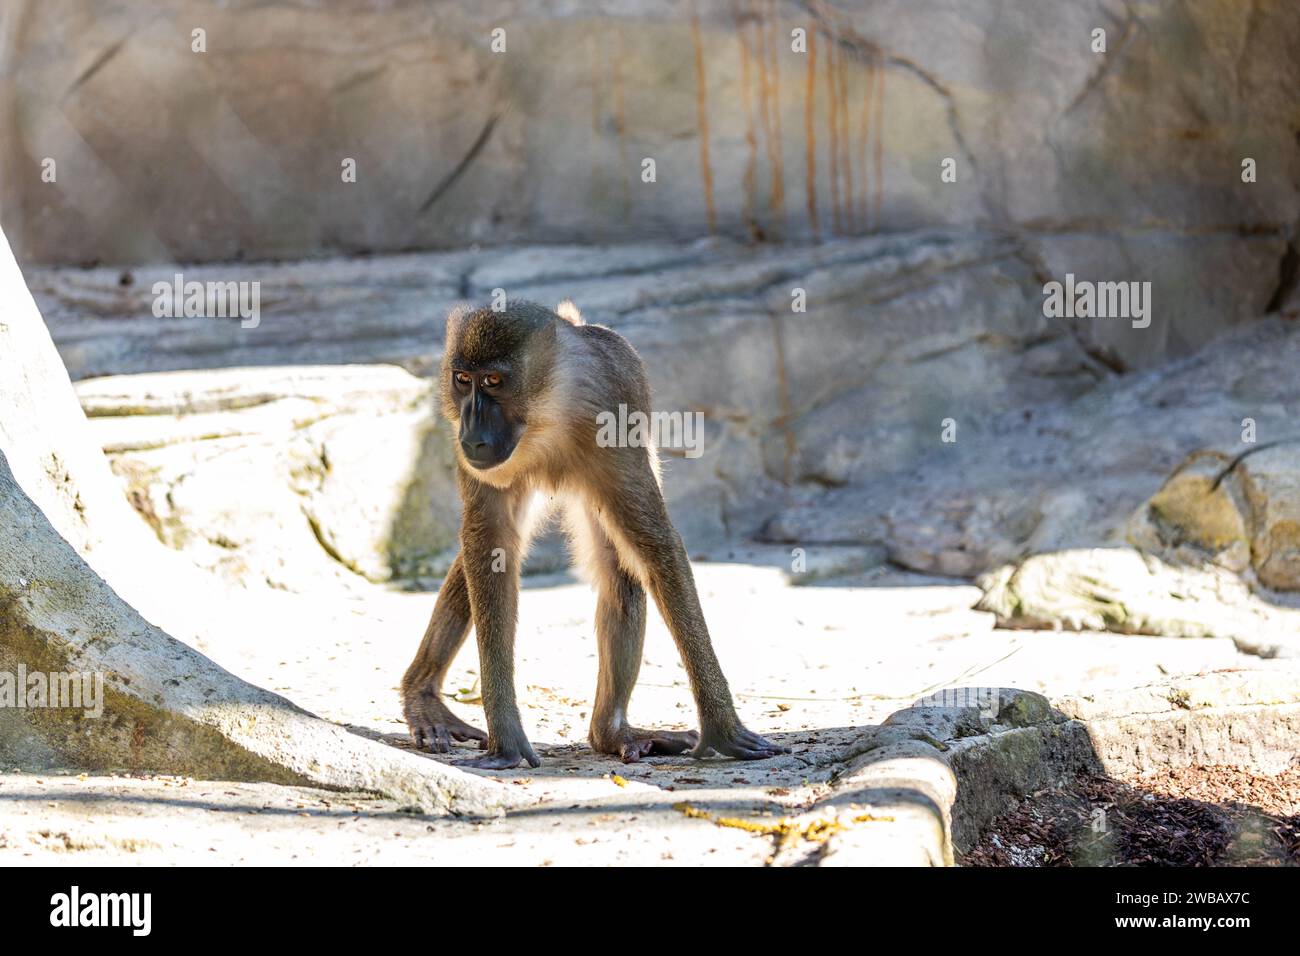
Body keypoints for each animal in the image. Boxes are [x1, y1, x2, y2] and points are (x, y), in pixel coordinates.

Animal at [400, 300, 788, 769]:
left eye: (493, 381)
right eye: (462, 380)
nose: (472, 430)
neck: (547, 407)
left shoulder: (612, 413)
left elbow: (655, 545)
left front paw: (722, 727)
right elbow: (490, 543)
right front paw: (506, 737)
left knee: (622, 571)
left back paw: (610, 732)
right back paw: (423, 696)